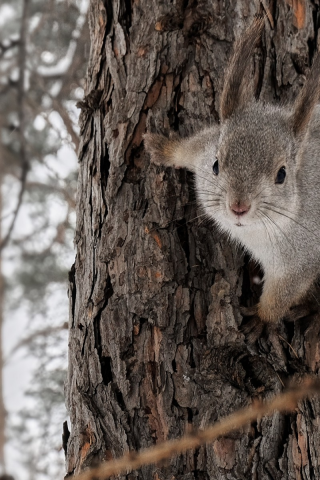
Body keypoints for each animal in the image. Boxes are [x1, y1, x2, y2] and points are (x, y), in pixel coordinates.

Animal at [144, 16, 320, 328]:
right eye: (216, 164)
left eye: (282, 174)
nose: (238, 206)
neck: (254, 233)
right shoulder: (204, 149)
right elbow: (189, 148)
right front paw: (164, 148)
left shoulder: (301, 259)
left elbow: (279, 299)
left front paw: (260, 320)